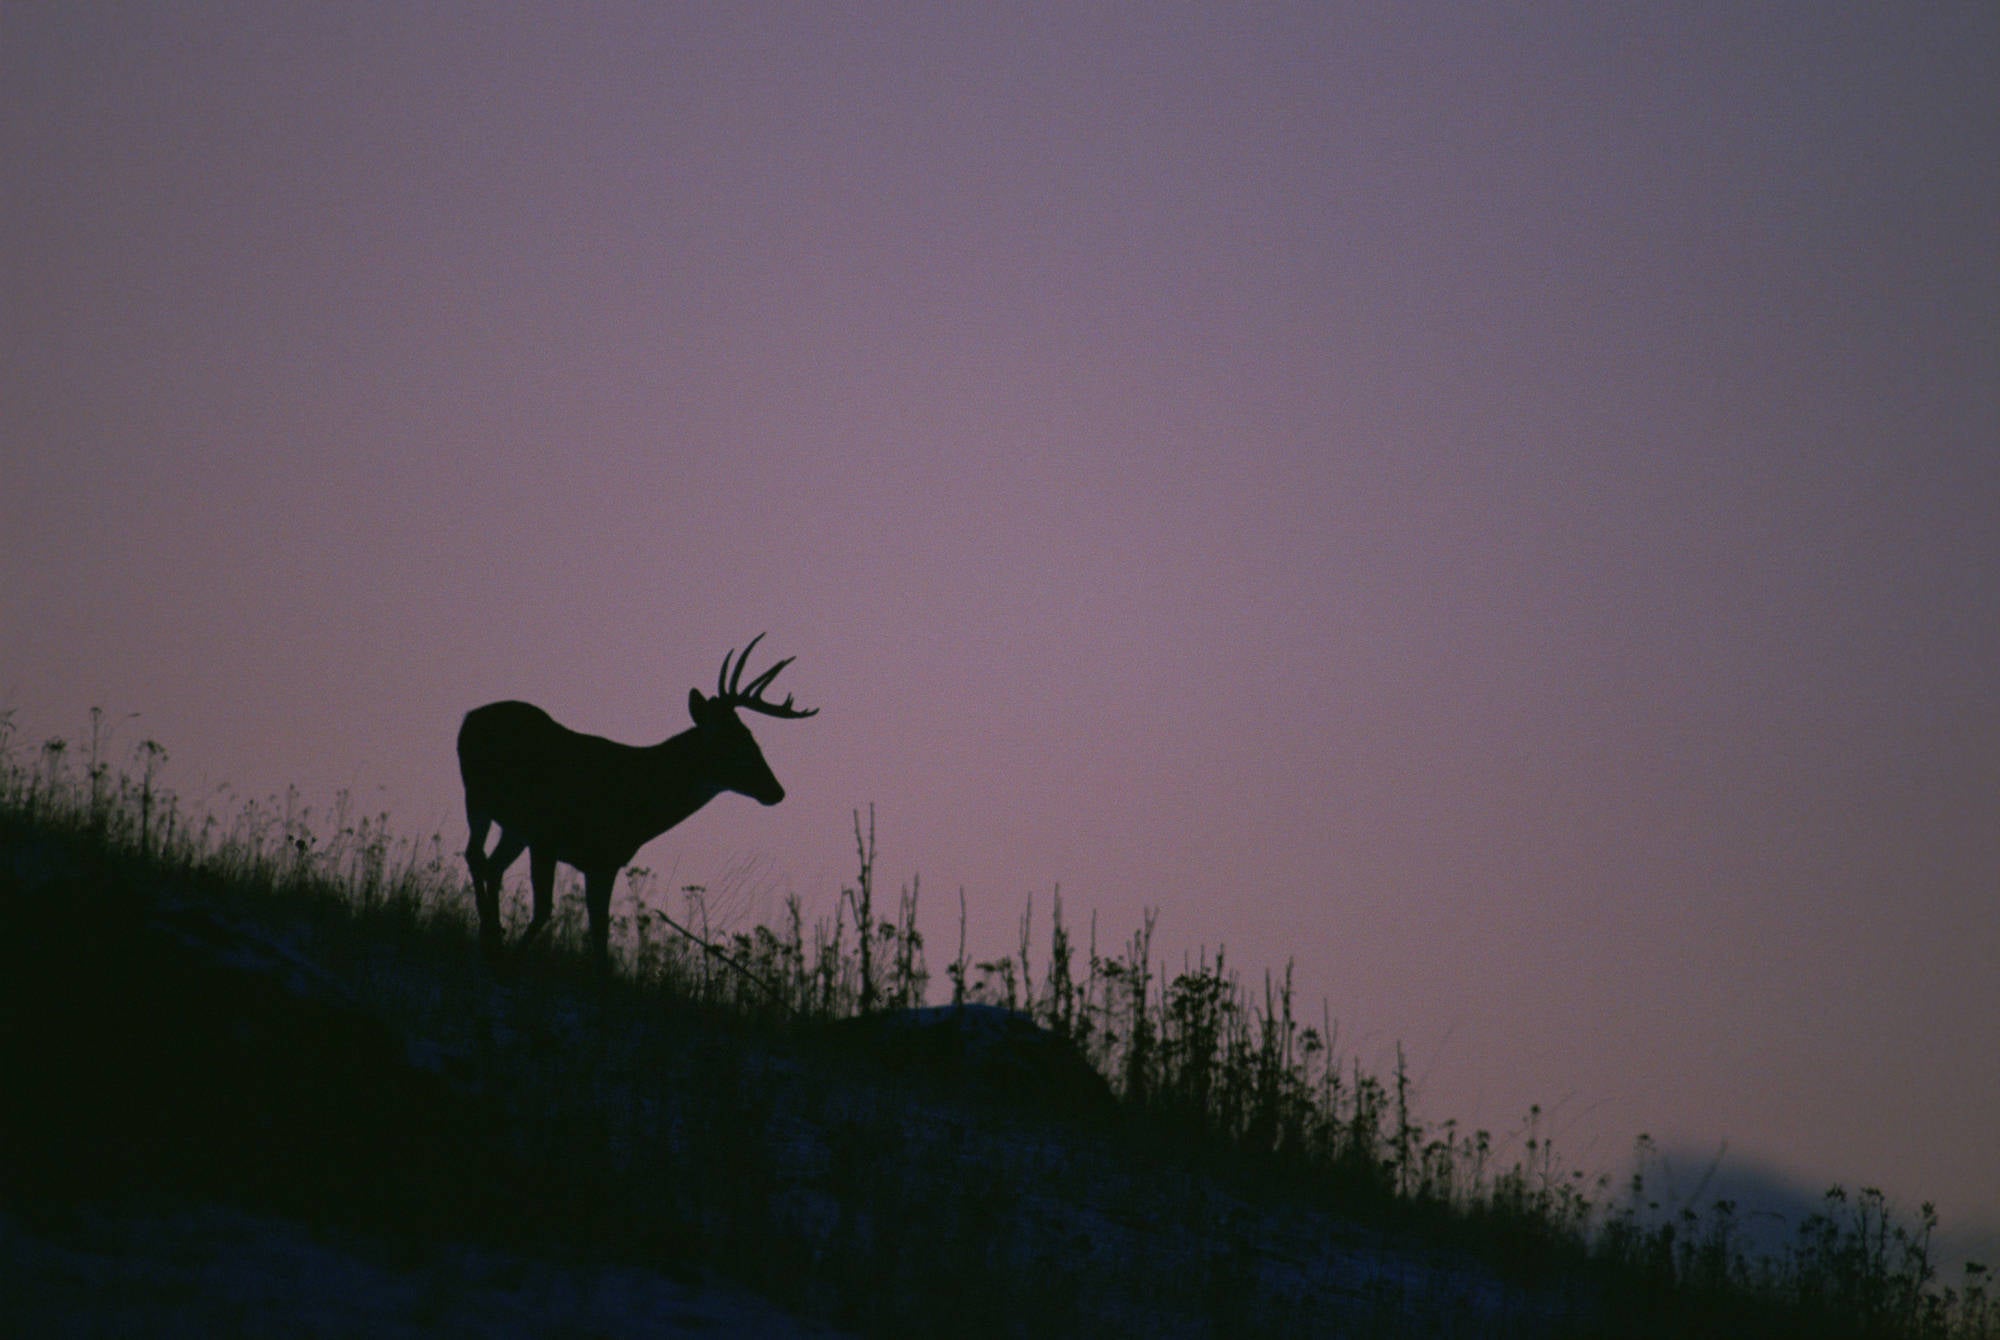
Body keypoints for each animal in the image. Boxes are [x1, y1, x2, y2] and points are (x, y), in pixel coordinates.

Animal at [460, 636, 820, 972]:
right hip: (477, 794)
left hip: (511, 824)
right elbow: (545, 911)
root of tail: (471, 714)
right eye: (735, 742)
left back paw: (492, 937)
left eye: (753, 738)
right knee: (476, 856)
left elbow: (600, 934)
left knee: (491, 864)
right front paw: (511, 962)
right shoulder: (547, 838)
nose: (776, 791)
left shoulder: (604, 861)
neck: (637, 797)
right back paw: (490, 937)